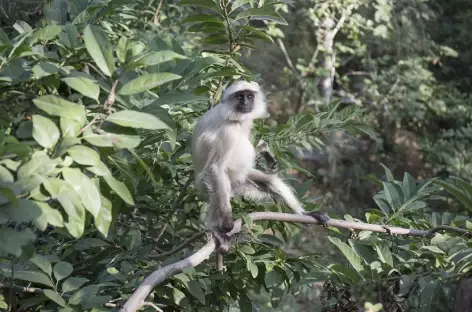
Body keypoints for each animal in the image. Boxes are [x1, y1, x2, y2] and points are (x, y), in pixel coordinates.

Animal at [190, 80, 326, 251]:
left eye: (249, 96)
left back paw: (304, 215)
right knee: (219, 187)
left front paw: (264, 149)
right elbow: (216, 167)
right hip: (207, 184)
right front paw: (226, 224)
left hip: (240, 181)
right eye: (239, 97)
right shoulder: (228, 132)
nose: (245, 103)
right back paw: (216, 230)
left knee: (270, 181)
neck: (235, 119)